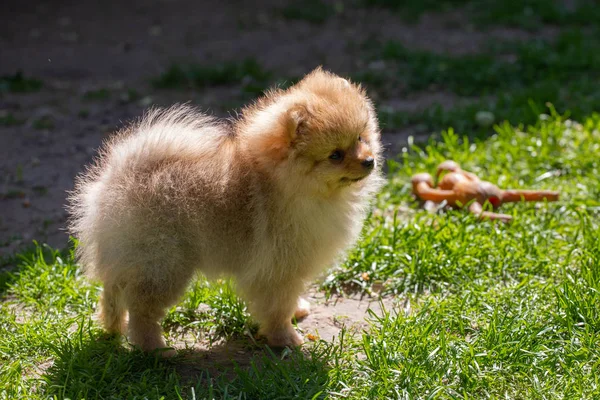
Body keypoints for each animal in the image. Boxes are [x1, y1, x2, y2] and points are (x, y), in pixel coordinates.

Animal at [68, 68, 382, 356]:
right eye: (335, 155)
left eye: (360, 138)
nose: (369, 161)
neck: (281, 182)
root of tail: (120, 176)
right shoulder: (278, 268)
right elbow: (277, 308)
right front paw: (285, 338)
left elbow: (287, 300)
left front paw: (297, 310)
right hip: (163, 264)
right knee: (141, 307)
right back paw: (156, 349)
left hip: (127, 256)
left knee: (112, 292)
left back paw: (113, 328)